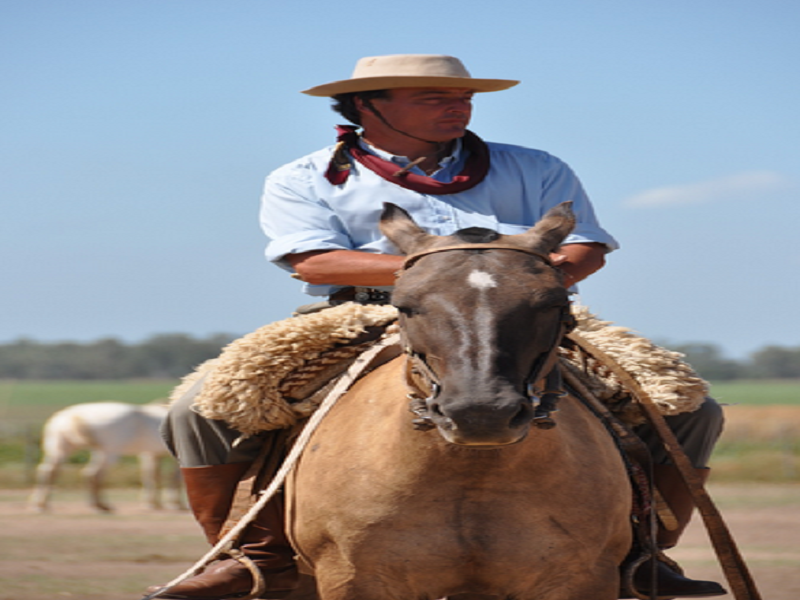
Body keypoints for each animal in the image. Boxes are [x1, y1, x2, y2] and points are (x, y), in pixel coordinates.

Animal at [28, 400, 184, 512]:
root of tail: (71, 415)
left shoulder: (150, 455)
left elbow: (152, 477)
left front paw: (153, 504)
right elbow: (172, 478)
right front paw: (175, 504)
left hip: (63, 451)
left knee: (49, 471)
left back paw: (41, 505)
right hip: (108, 453)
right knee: (94, 474)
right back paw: (100, 505)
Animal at [284, 203, 636, 600]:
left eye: (553, 302)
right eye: (404, 305)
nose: (481, 415)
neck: (471, 472)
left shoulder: (582, 577)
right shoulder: (351, 577)